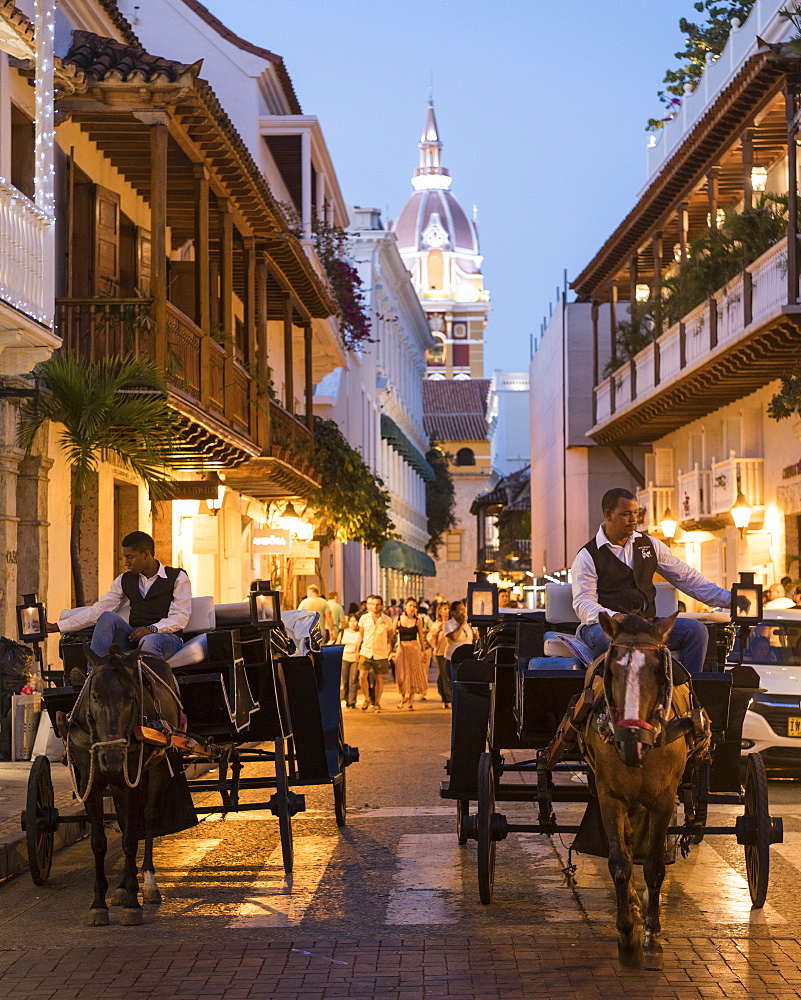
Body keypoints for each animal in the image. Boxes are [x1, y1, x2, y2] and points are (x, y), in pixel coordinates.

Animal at [63, 644, 181, 924]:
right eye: (95, 696)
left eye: (131, 697)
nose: (114, 757)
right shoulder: (90, 785)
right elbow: (99, 842)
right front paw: (99, 904)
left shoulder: (132, 783)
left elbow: (130, 840)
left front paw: (132, 904)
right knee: (125, 819)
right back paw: (121, 887)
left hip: (158, 766)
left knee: (147, 818)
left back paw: (148, 883)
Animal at [580, 608, 708, 968]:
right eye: (611, 669)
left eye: (658, 670)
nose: (631, 741)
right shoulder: (609, 796)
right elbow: (620, 862)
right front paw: (627, 935)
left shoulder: (664, 799)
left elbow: (653, 866)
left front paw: (652, 937)